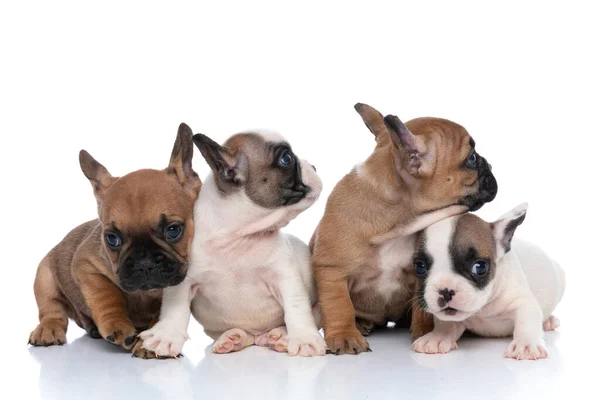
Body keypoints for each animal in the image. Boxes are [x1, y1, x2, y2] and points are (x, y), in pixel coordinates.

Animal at [27, 123, 202, 358]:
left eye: (173, 231)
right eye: (112, 239)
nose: (144, 263)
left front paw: (148, 343)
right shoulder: (86, 266)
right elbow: (106, 295)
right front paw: (117, 325)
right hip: (44, 276)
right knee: (52, 309)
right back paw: (49, 329)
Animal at [139, 130, 328, 358]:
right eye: (286, 159)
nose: (314, 167)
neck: (237, 237)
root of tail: (258, 337)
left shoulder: (285, 278)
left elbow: (296, 307)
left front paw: (303, 338)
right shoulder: (184, 280)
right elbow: (175, 309)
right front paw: (166, 336)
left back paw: (280, 336)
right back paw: (232, 339)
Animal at [310, 103, 496, 354]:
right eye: (472, 158)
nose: (490, 164)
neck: (397, 225)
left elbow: (423, 307)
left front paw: (427, 332)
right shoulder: (332, 271)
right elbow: (339, 305)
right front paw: (344, 336)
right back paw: (362, 323)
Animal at [410, 203, 564, 360]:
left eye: (479, 267)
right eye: (420, 266)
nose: (446, 291)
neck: (484, 308)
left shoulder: (522, 301)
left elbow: (526, 320)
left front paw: (526, 343)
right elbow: (446, 324)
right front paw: (438, 336)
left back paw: (548, 320)